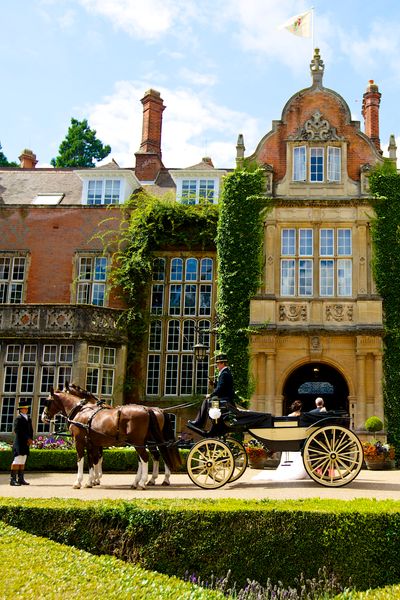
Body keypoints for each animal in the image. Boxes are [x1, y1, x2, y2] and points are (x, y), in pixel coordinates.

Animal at [41, 386, 180, 490]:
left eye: (47, 401)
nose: (43, 417)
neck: (82, 411)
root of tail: (148, 409)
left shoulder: (79, 442)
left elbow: (82, 460)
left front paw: (80, 482)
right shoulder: (92, 443)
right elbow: (93, 461)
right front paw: (91, 481)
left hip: (140, 441)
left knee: (147, 457)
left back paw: (144, 482)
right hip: (141, 442)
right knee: (152, 456)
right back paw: (142, 481)